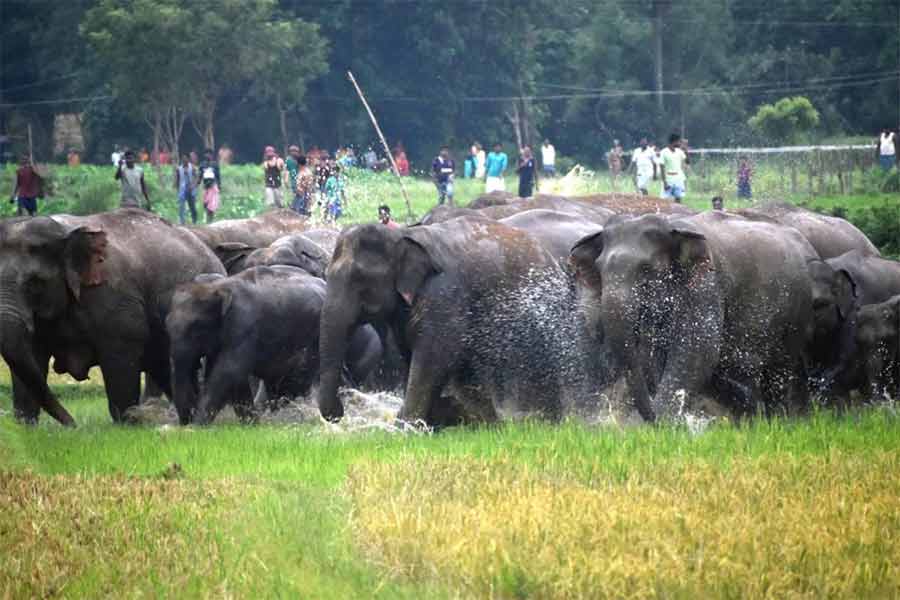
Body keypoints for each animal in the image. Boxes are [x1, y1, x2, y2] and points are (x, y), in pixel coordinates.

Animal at [0, 209, 224, 424]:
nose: (74, 424)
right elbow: (30, 358)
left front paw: (127, 423)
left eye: (35, 283)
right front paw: (27, 426)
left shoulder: (113, 298)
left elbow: (120, 357)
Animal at [165, 264, 384, 424]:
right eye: (166, 324)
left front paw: (196, 428)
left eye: (196, 328)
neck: (218, 286)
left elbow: (227, 371)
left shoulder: (244, 325)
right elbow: (230, 375)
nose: (185, 421)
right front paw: (251, 425)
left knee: (296, 382)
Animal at [320, 218, 568, 428]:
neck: (403, 234)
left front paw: (405, 427)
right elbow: (410, 353)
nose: (340, 412)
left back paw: (539, 420)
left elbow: (434, 355)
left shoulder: (444, 293)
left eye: (359, 280)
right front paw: (434, 422)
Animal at [572, 211, 820, 422]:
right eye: (599, 270)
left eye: (646, 269)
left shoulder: (706, 284)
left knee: (780, 369)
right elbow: (655, 355)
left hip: (796, 311)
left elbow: (697, 350)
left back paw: (778, 420)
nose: (651, 414)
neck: (673, 225)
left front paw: (665, 421)